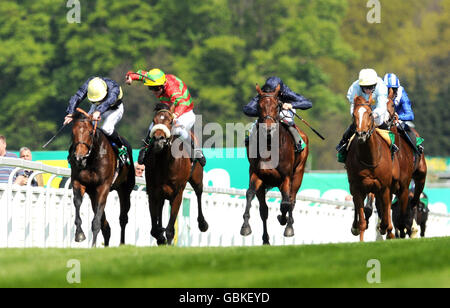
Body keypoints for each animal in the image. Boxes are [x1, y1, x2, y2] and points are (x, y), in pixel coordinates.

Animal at [68, 108, 135, 248]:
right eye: (73, 133)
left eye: (89, 133)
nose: (79, 158)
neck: (92, 159)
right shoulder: (78, 182)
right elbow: (77, 202)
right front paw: (79, 234)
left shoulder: (103, 186)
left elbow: (96, 221)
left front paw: (93, 245)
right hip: (93, 193)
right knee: (106, 224)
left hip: (125, 189)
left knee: (123, 218)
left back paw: (122, 243)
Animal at [143, 103, 208, 245]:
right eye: (154, 120)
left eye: (171, 121)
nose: (158, 139)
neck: (165, 163)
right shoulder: (152, 191)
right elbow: (154, 228)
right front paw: (160, 237)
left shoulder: (178, 193)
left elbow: (170, 229)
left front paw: (166, 238)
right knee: (161, 207)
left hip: (197, 178)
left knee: (199, 193)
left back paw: (203, 223)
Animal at [239, 83, 310, 244]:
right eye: (259, 106)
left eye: (277, 106)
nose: (268, 129)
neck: (269, 146)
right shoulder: (256, 174)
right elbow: (249, 194)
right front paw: (245, 226)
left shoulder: (286, 177)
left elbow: (286, 202)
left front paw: (285, 222)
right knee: (264, 210)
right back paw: (266, 239)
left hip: (298, 174)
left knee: (291, 199)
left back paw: (288, 225)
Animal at [344, 95, 400, 242]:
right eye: (354, 115)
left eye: (370, 114)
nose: (361, 134)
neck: (370, 158)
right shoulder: (358, 187)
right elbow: (362, 219)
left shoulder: (384, 187)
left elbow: (385, 212)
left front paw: (386, 229)